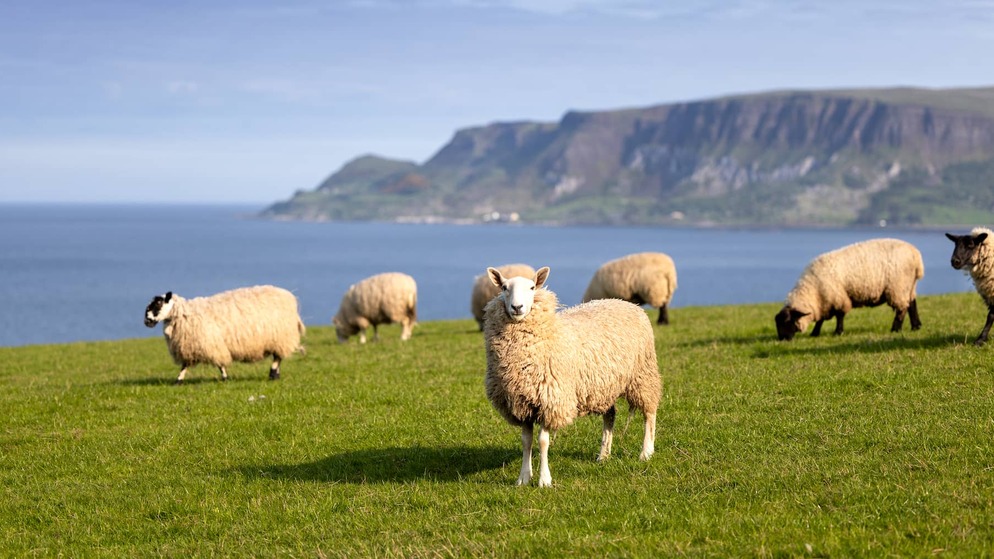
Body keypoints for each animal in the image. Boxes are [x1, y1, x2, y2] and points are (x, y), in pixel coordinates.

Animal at [143, 285, 305, 383]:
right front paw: (178, 380)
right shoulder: (190, 347)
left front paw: (225, 378)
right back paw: (276, 374)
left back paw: (272, 374)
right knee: (278, 357)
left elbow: (220, 363)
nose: (147, 321)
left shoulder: (211, 344)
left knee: (277, 357)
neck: (183, 314)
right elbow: (185, 365)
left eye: (158, 304)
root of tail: (289, 296)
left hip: (281, 337)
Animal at [483, 266, 661, 487]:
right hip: (604, 386)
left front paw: (544, 480)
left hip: (643, 374)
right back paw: (604, 454)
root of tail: (626, 303)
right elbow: (526, 441)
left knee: (649, 412)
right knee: (610, 416)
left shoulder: (551, 401)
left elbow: (542, 441)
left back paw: (646, 452)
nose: (517, 307)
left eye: (532, 287)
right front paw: (523, 477)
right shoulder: (522, 403)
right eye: (504, 288)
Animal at [774, 238, 924, 341]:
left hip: (898, 286)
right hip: (909, 285)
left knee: (902, 308)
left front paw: (838, 332)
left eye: (787, 321)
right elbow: (821, 319)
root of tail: (916, 255)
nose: (782, 339)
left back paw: (895, 329)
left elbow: (839, 315)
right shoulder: (825, 301)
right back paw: (916, 326)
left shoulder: (838, 297)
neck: (813, 290)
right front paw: (815, 333)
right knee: (912, 304)